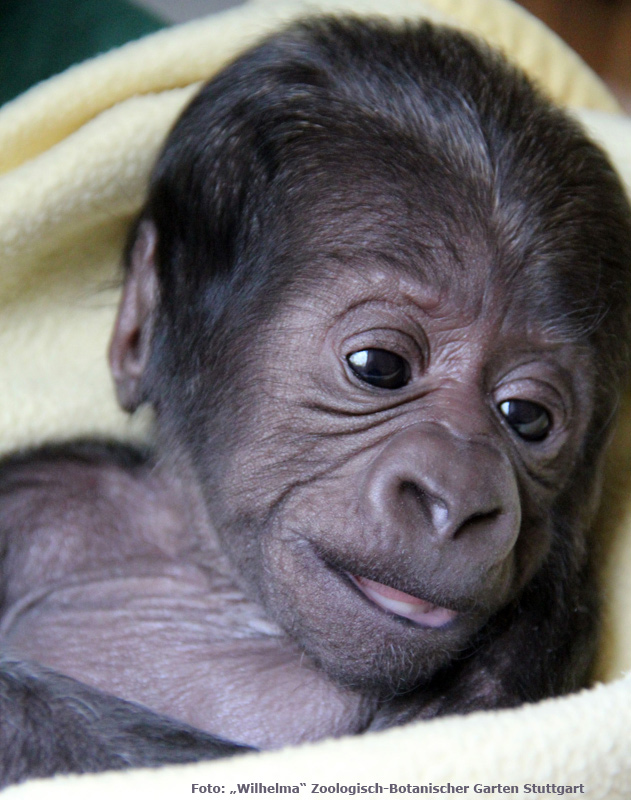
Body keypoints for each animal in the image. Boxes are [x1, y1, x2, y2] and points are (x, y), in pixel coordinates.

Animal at [1, 14, 631, 788]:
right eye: (378, 367)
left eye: (527, 418)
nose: (455, 496)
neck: (225, 581)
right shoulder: (41, 491)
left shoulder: (536, 641)